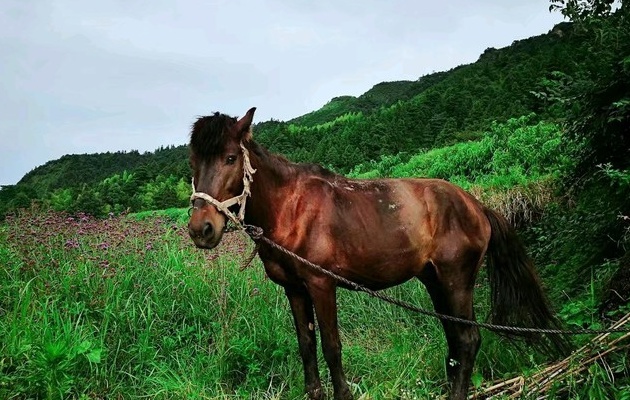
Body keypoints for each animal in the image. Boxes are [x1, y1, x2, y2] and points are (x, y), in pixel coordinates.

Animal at [188, 107, 568, 400]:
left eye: (230, 158)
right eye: (193, 162)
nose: (200, 229)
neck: (291, 208)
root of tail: (476, 205)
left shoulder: (321, 284)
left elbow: (332, 347)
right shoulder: (294, 289)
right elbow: (306, 346)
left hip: (457, 281)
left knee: (468, 339)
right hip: (435, 282)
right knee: (455, 339)